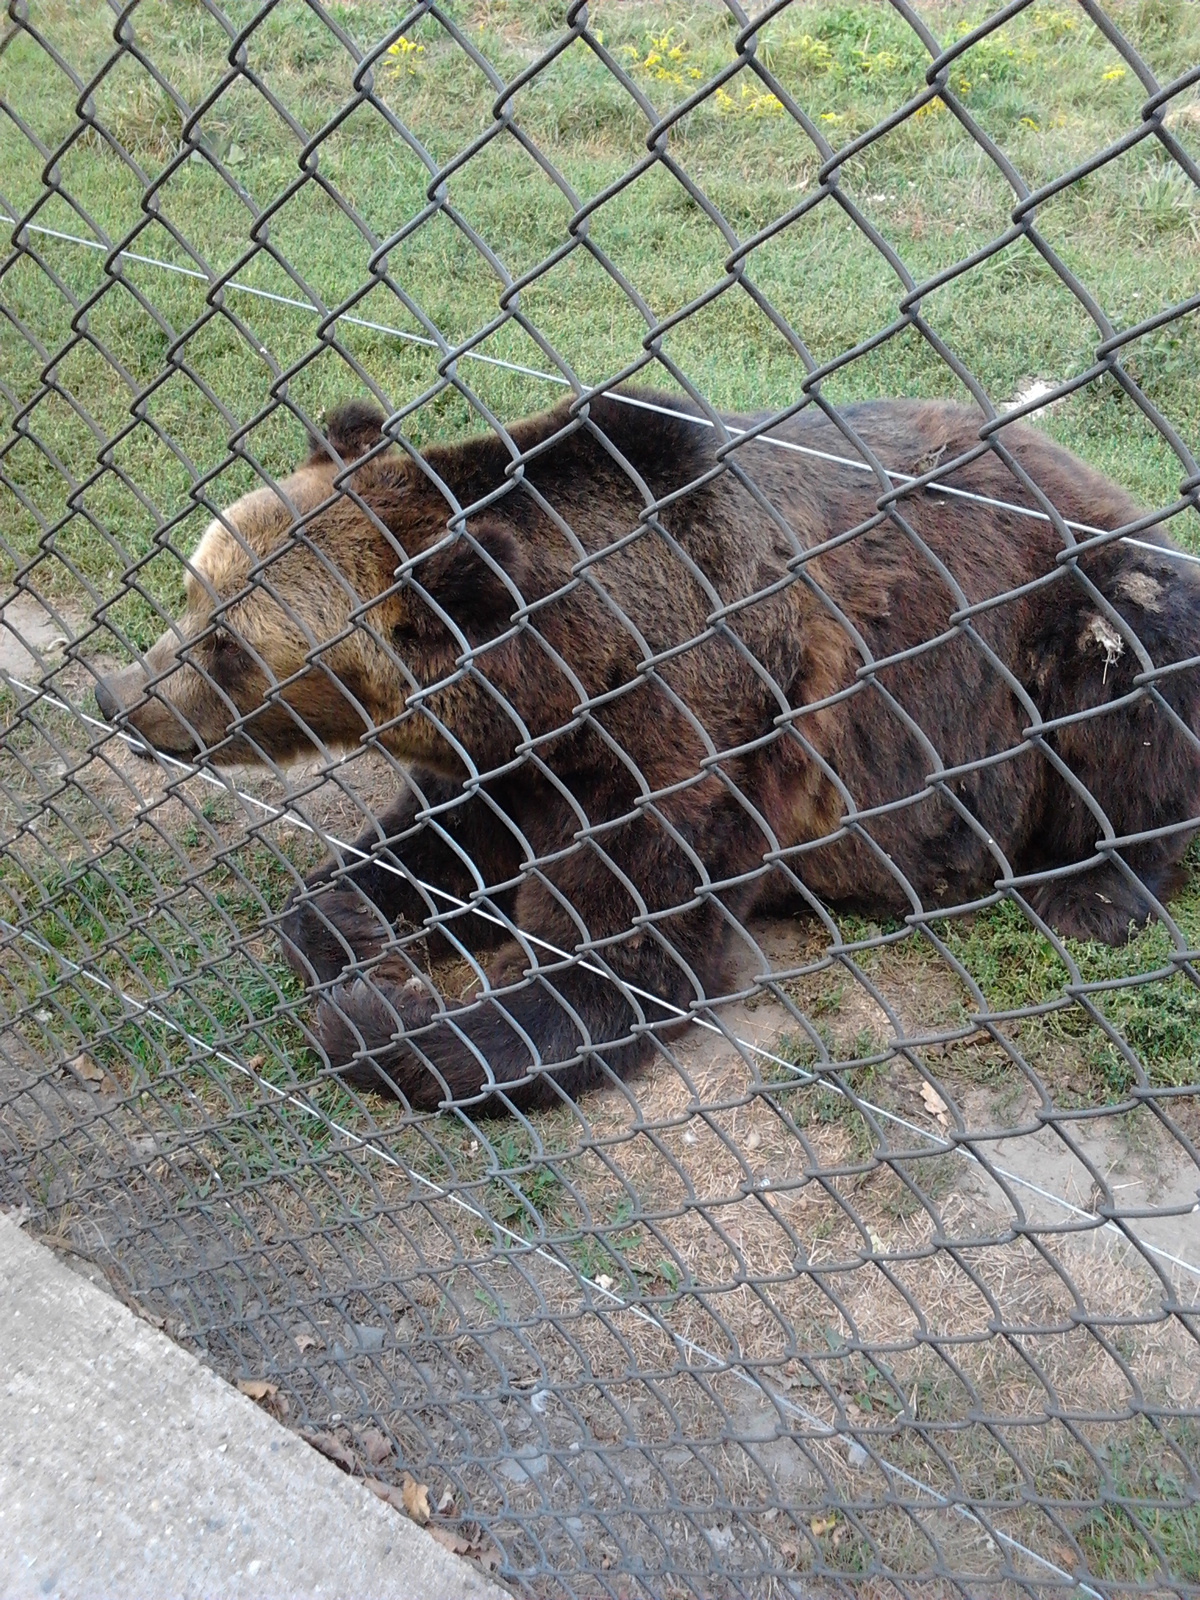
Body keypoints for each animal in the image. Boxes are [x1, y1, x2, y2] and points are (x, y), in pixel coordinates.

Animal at [96, 387, 1200, 1113]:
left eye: (229, 645)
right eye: (192, 588)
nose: (120, 694)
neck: (581, 679)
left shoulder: (700, 743)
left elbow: (615, 968)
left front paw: (381, 1022)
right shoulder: (527, 764)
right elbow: (430, 849)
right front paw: (361, 933)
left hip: (1070, 613)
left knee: (1131, 688)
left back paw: (1093, 890)